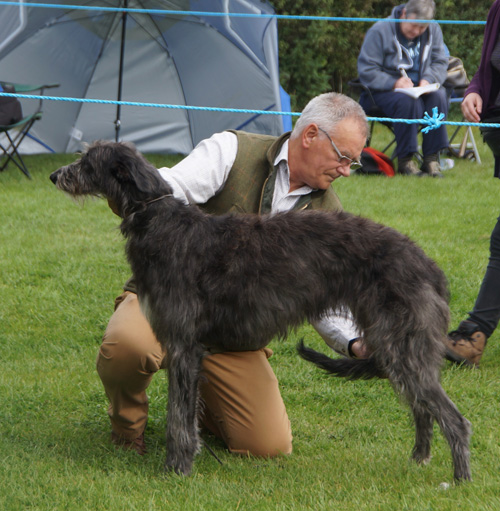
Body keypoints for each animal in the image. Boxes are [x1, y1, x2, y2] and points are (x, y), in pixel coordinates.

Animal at [48, 141, 470, 484]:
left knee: (453, 417)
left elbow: (177, 417)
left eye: (86, 162)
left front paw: (177, 468)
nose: (54, 175)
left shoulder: (183, 345)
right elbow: (184, 412)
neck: (159, 221)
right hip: (397, 345)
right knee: (422, 408)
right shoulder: (182, 346)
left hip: (402, 343)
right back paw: (419, 459)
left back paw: (459, 479)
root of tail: (429, 267)